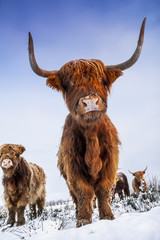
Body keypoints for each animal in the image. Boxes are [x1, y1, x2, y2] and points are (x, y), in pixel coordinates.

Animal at [28, 18, 146, 227]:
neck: (92, 138)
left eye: (102, 79)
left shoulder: (110, 164)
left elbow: (103, 190)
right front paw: (83, 220)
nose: (90, 101)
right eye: (69, 84)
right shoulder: (73, 167)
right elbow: (83, 192)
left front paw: (107, 217)